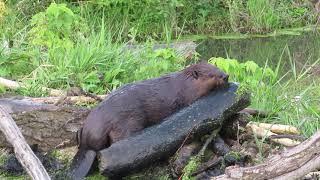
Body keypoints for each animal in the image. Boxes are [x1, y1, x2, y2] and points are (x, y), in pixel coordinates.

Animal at [68, 61, 228, 179]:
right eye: (212, 74)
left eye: (217, 67)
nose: (226, 76)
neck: (184, 83)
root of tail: (88, 145)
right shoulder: (188, 96)